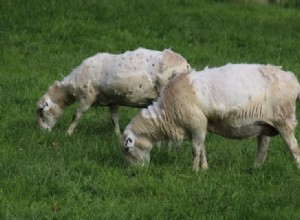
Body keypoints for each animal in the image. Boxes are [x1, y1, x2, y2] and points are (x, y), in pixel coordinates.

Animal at [36, 48, 191, 136]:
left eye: (41, 112)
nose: (43, 133)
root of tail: (186, 66)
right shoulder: (112, 100)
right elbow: (114, 118)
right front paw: (117, 134)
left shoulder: (87, 97)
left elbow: (76, 116)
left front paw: (68, 133)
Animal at [120, 63, 300, 170]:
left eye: (127, 149)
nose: (134, 172)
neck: (167, 113)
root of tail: (293, 79)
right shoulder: (200, 125)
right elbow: (202, 147)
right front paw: (204, 169)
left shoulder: (196, 122)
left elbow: (195, 149)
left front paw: (194, 170)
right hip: (264, 125)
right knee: (262, 148)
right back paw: (255, 168)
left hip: (283, 119)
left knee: (294, 147)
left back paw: (297, 168)